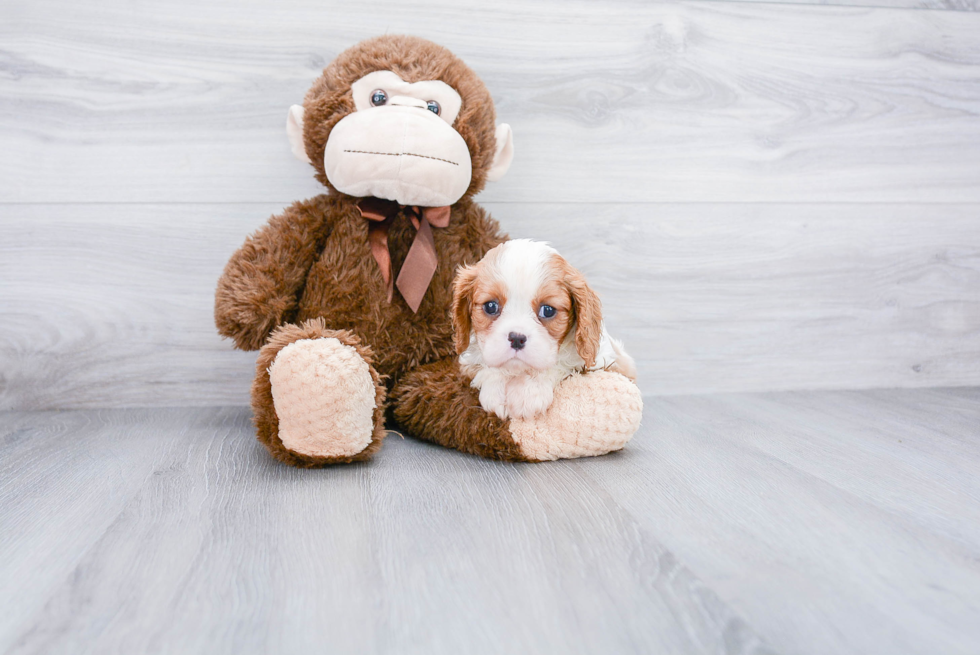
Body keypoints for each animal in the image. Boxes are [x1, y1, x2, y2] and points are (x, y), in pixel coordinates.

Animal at [452, 240, 636, 420]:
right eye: (491, 306)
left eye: (547, 310)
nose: (516, 338)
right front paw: (496, 387)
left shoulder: (611, 362)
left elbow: (562, 362)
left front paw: (528, 390)